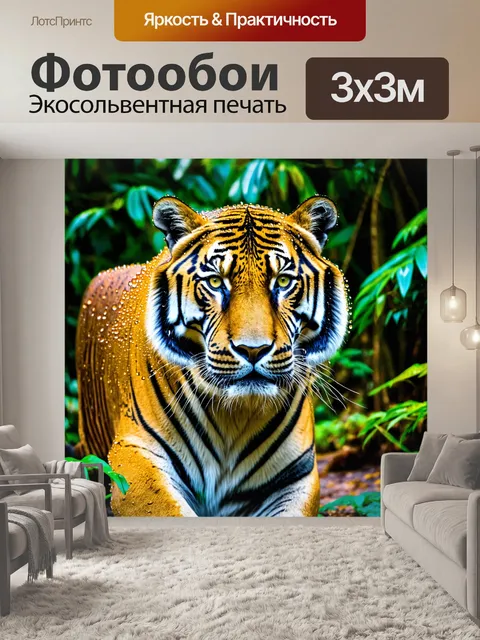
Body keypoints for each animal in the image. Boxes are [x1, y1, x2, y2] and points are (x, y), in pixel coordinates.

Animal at [75, 195, 349, 517]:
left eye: (282, 282)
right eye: (216, 283)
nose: (253, 349)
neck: (235, 416)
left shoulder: (297, 474)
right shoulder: (135, 455)